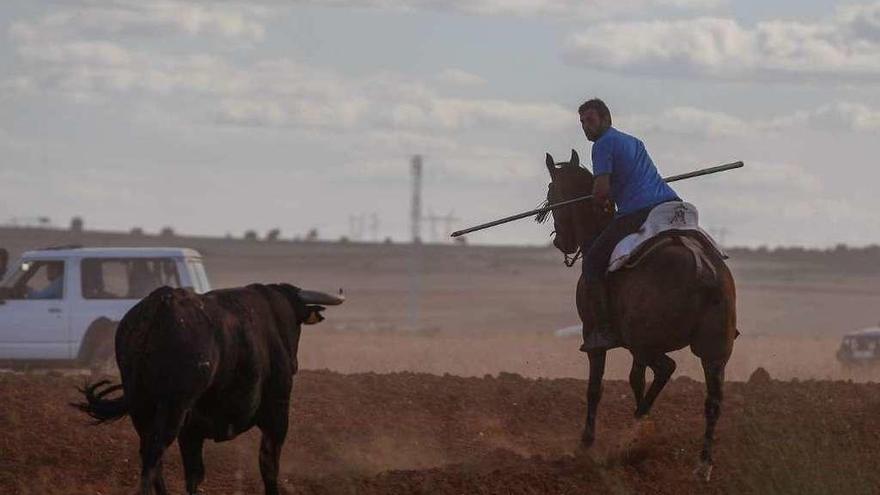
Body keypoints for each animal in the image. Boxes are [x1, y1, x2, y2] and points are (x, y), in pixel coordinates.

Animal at [75, 284, 344, 494]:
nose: (295, 363)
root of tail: (159, 306)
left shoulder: (191, 431)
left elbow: (194, 475)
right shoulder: (276, 416)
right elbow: (269, 467)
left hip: (143, 409)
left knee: (151, 456)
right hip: (173, 409)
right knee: (154, 453)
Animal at [540, 151, 740, 480]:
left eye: (552, 192)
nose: (561, 243)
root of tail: (703, 268)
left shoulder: (593, 336)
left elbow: (595, 388)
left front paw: (586, 444)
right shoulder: (637, 348)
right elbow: (635, 378)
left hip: (646, 342)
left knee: (667, 368)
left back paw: (637, 429)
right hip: (713, 351)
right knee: (712, 400)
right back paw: (698, 461)